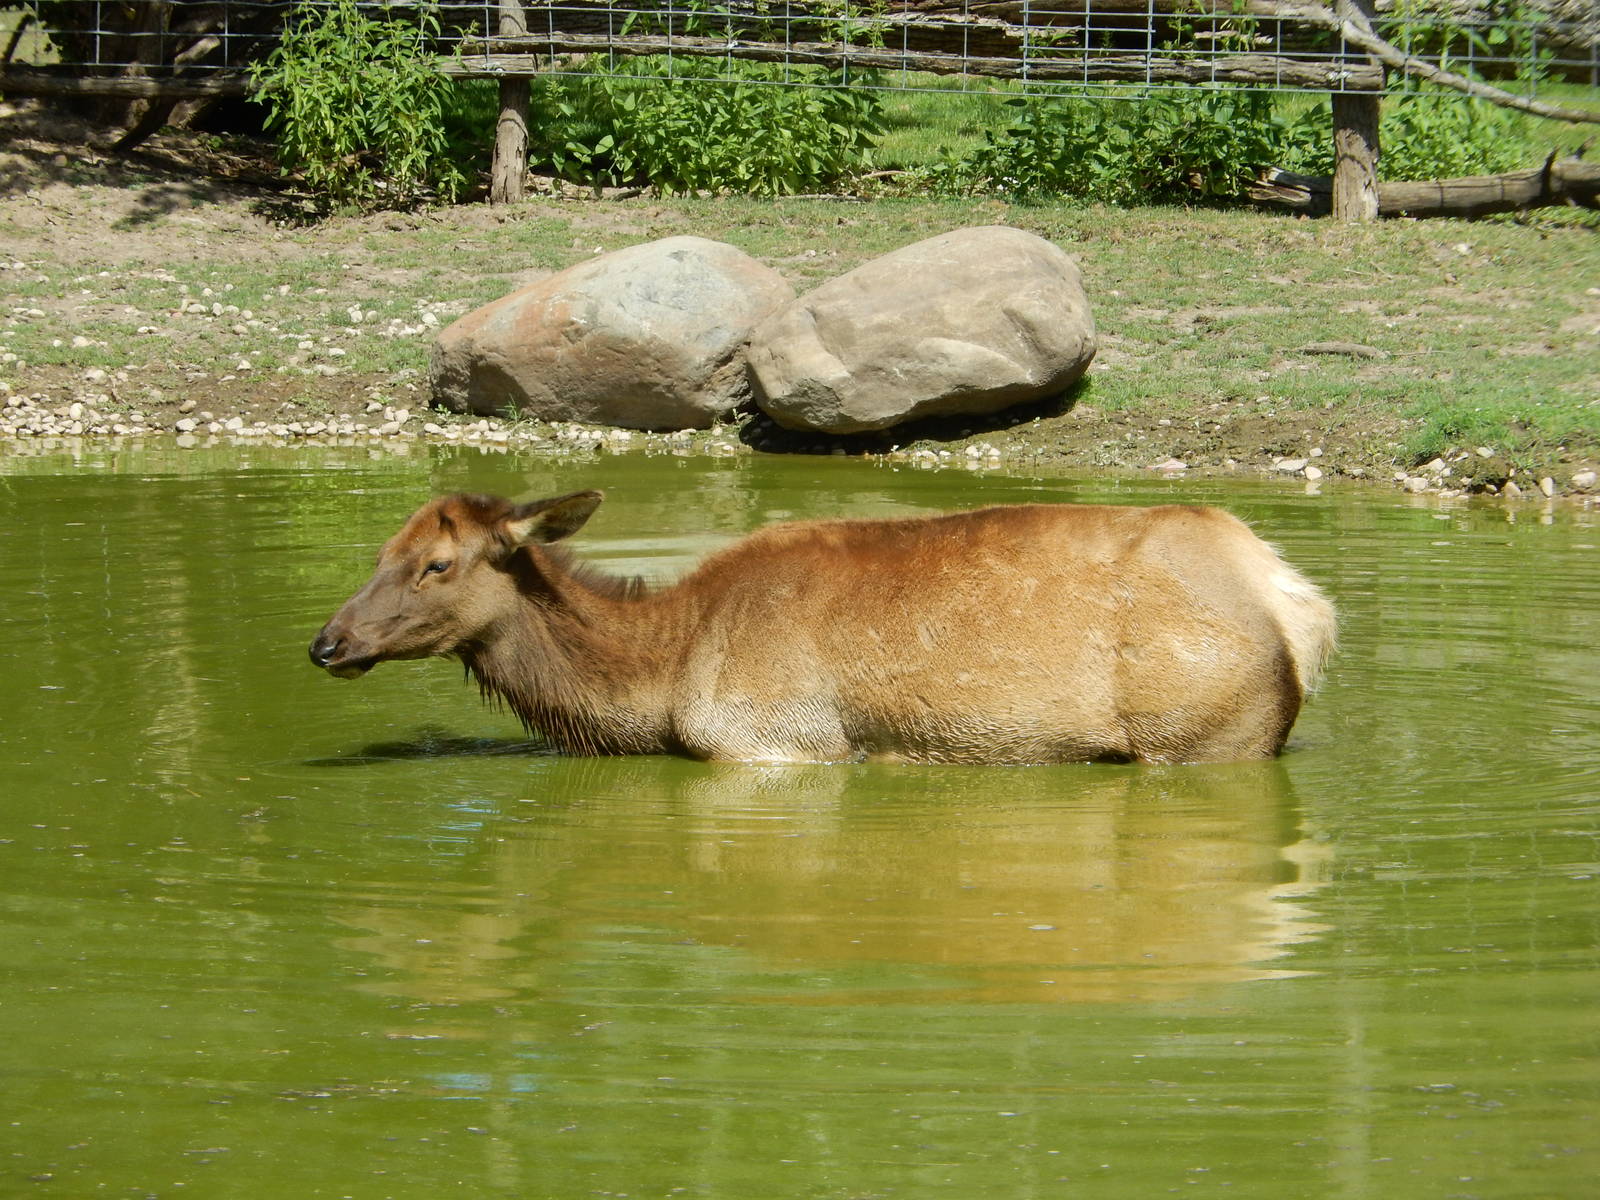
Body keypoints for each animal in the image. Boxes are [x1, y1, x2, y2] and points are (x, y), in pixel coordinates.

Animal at [309, 491, 1334, 764]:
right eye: (382, 549)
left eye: (436, 564)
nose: (327, 641)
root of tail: (1296, 598)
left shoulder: (778, 743)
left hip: (1202, 736)